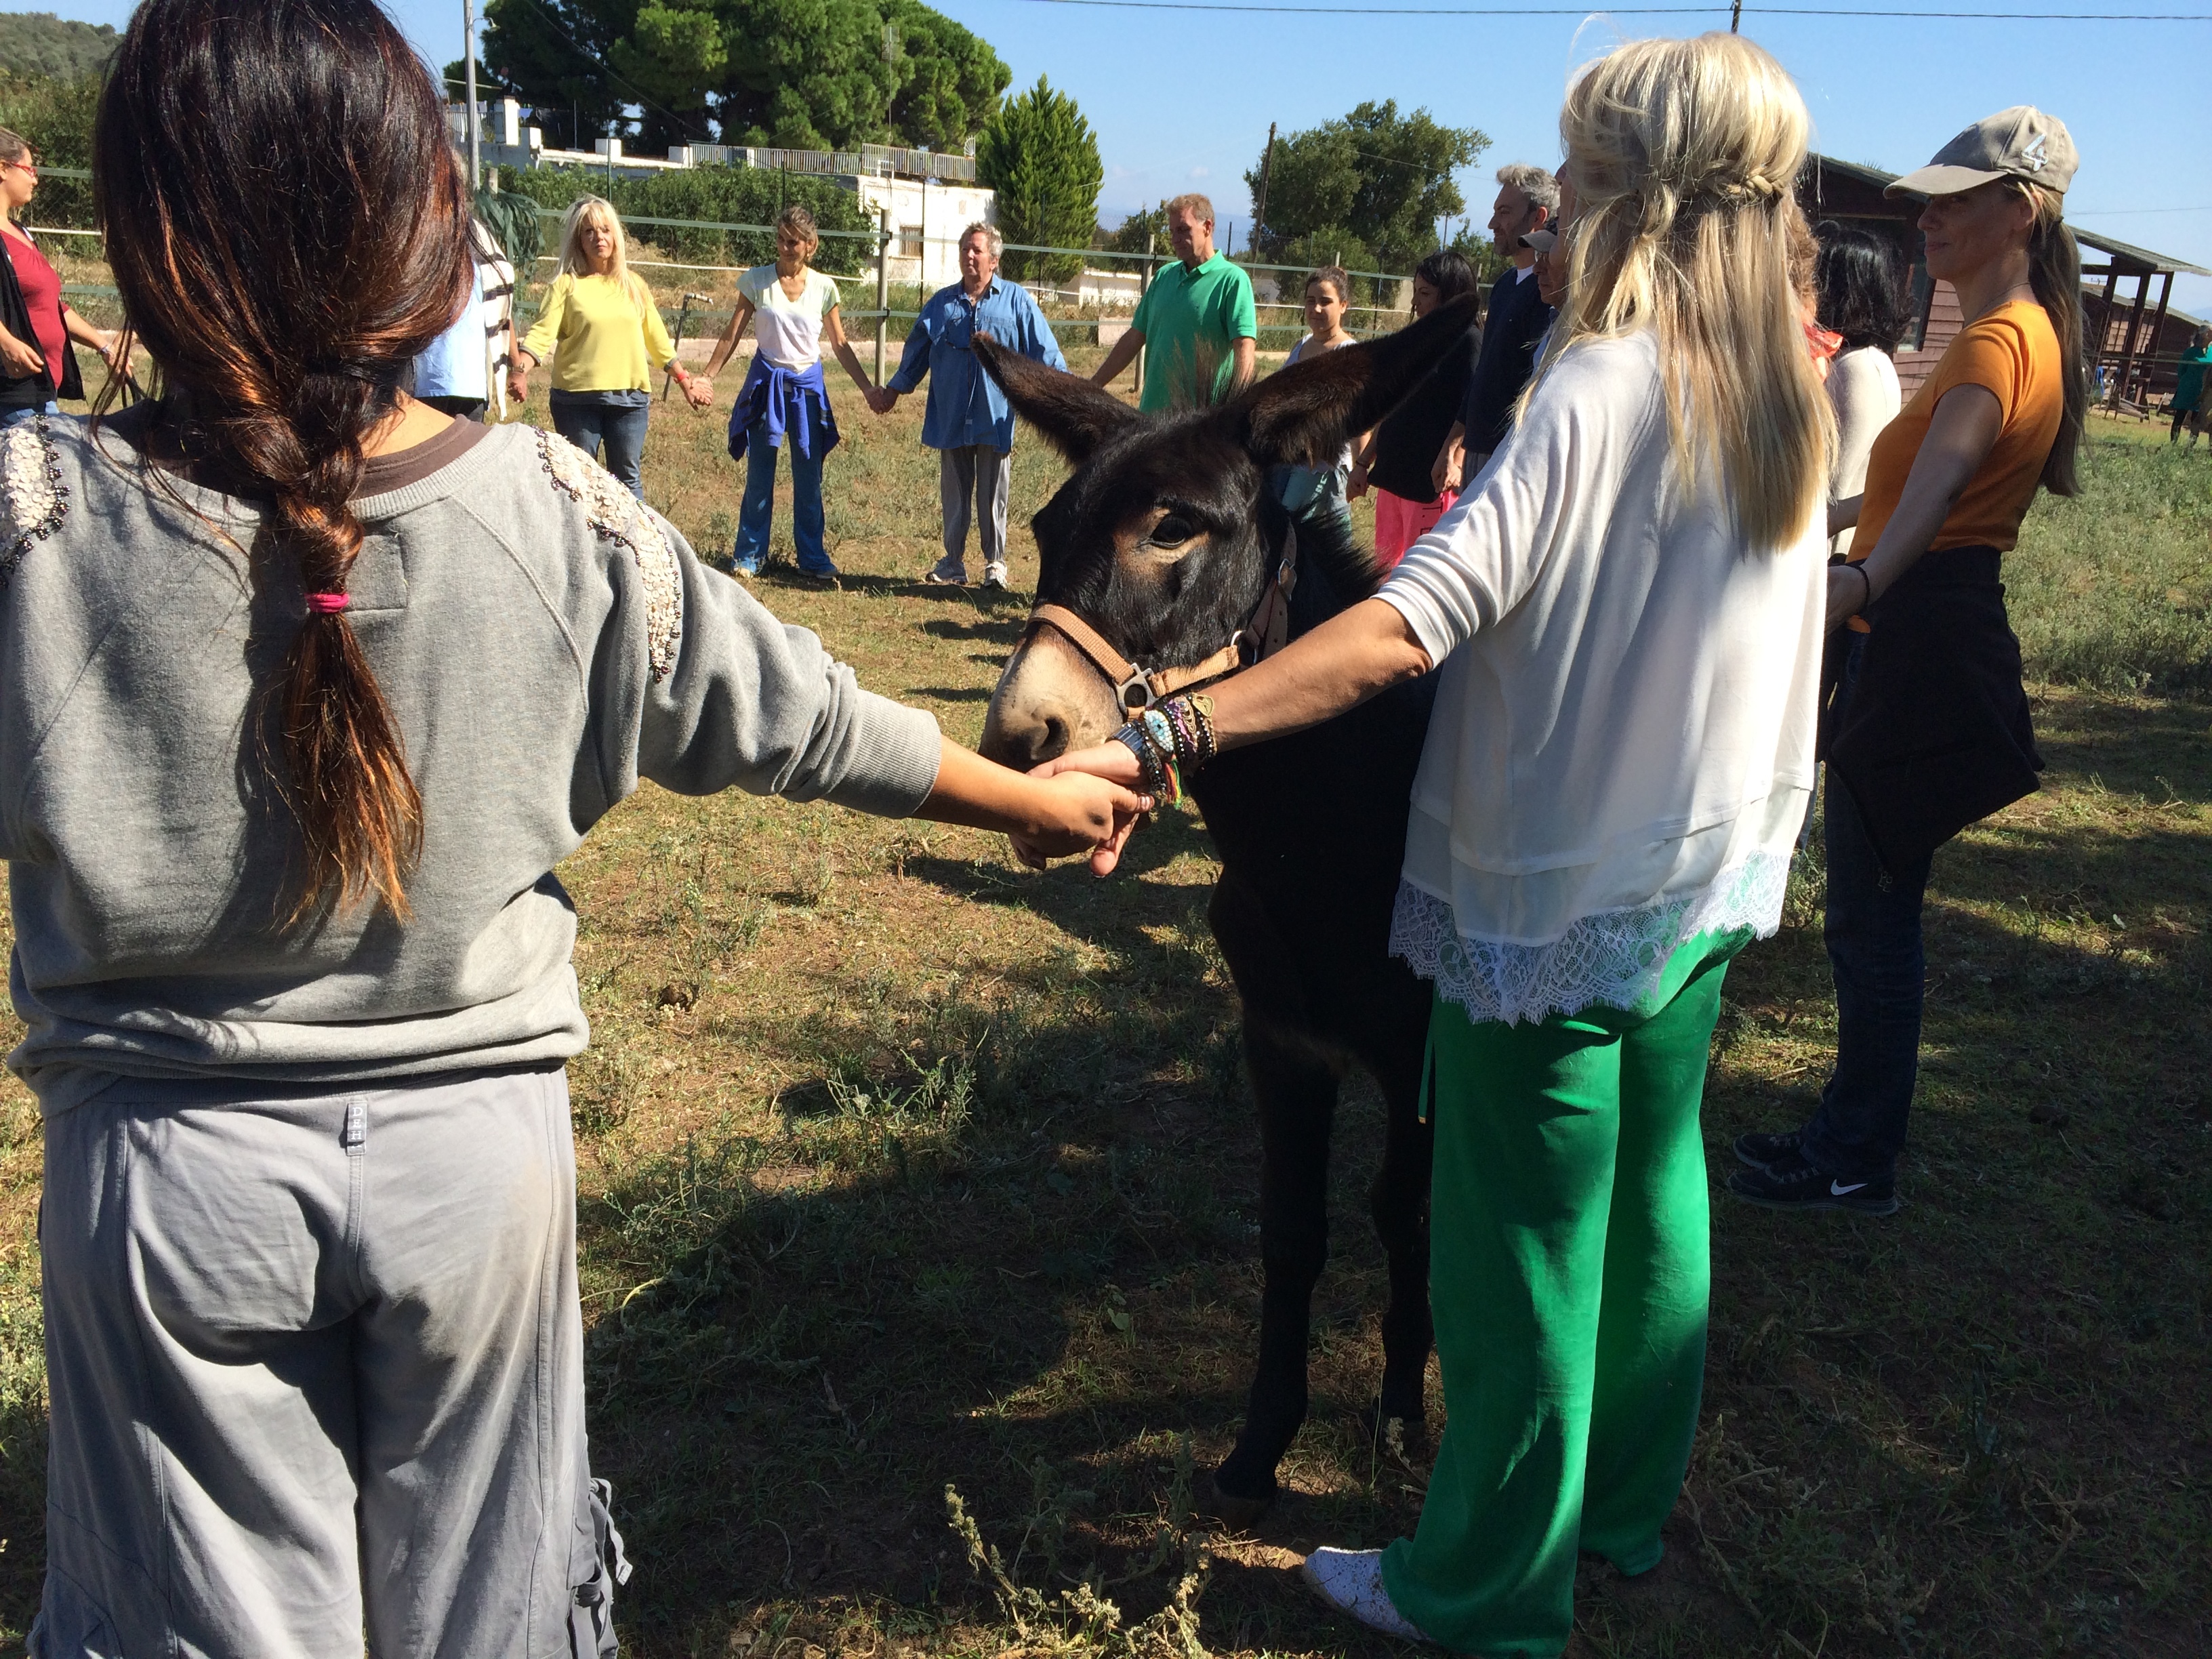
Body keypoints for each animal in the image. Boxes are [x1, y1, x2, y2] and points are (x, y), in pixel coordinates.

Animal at [972, 296, 1479, 1523]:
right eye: (1047, 528)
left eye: (1173, 528)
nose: (1020, 738)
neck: (1333, 846)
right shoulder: (1279, 1040)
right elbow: (1291, 1232)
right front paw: (1259, 1446)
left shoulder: (1420, 1054)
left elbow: (1404, 1216)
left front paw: (1401, 1419)